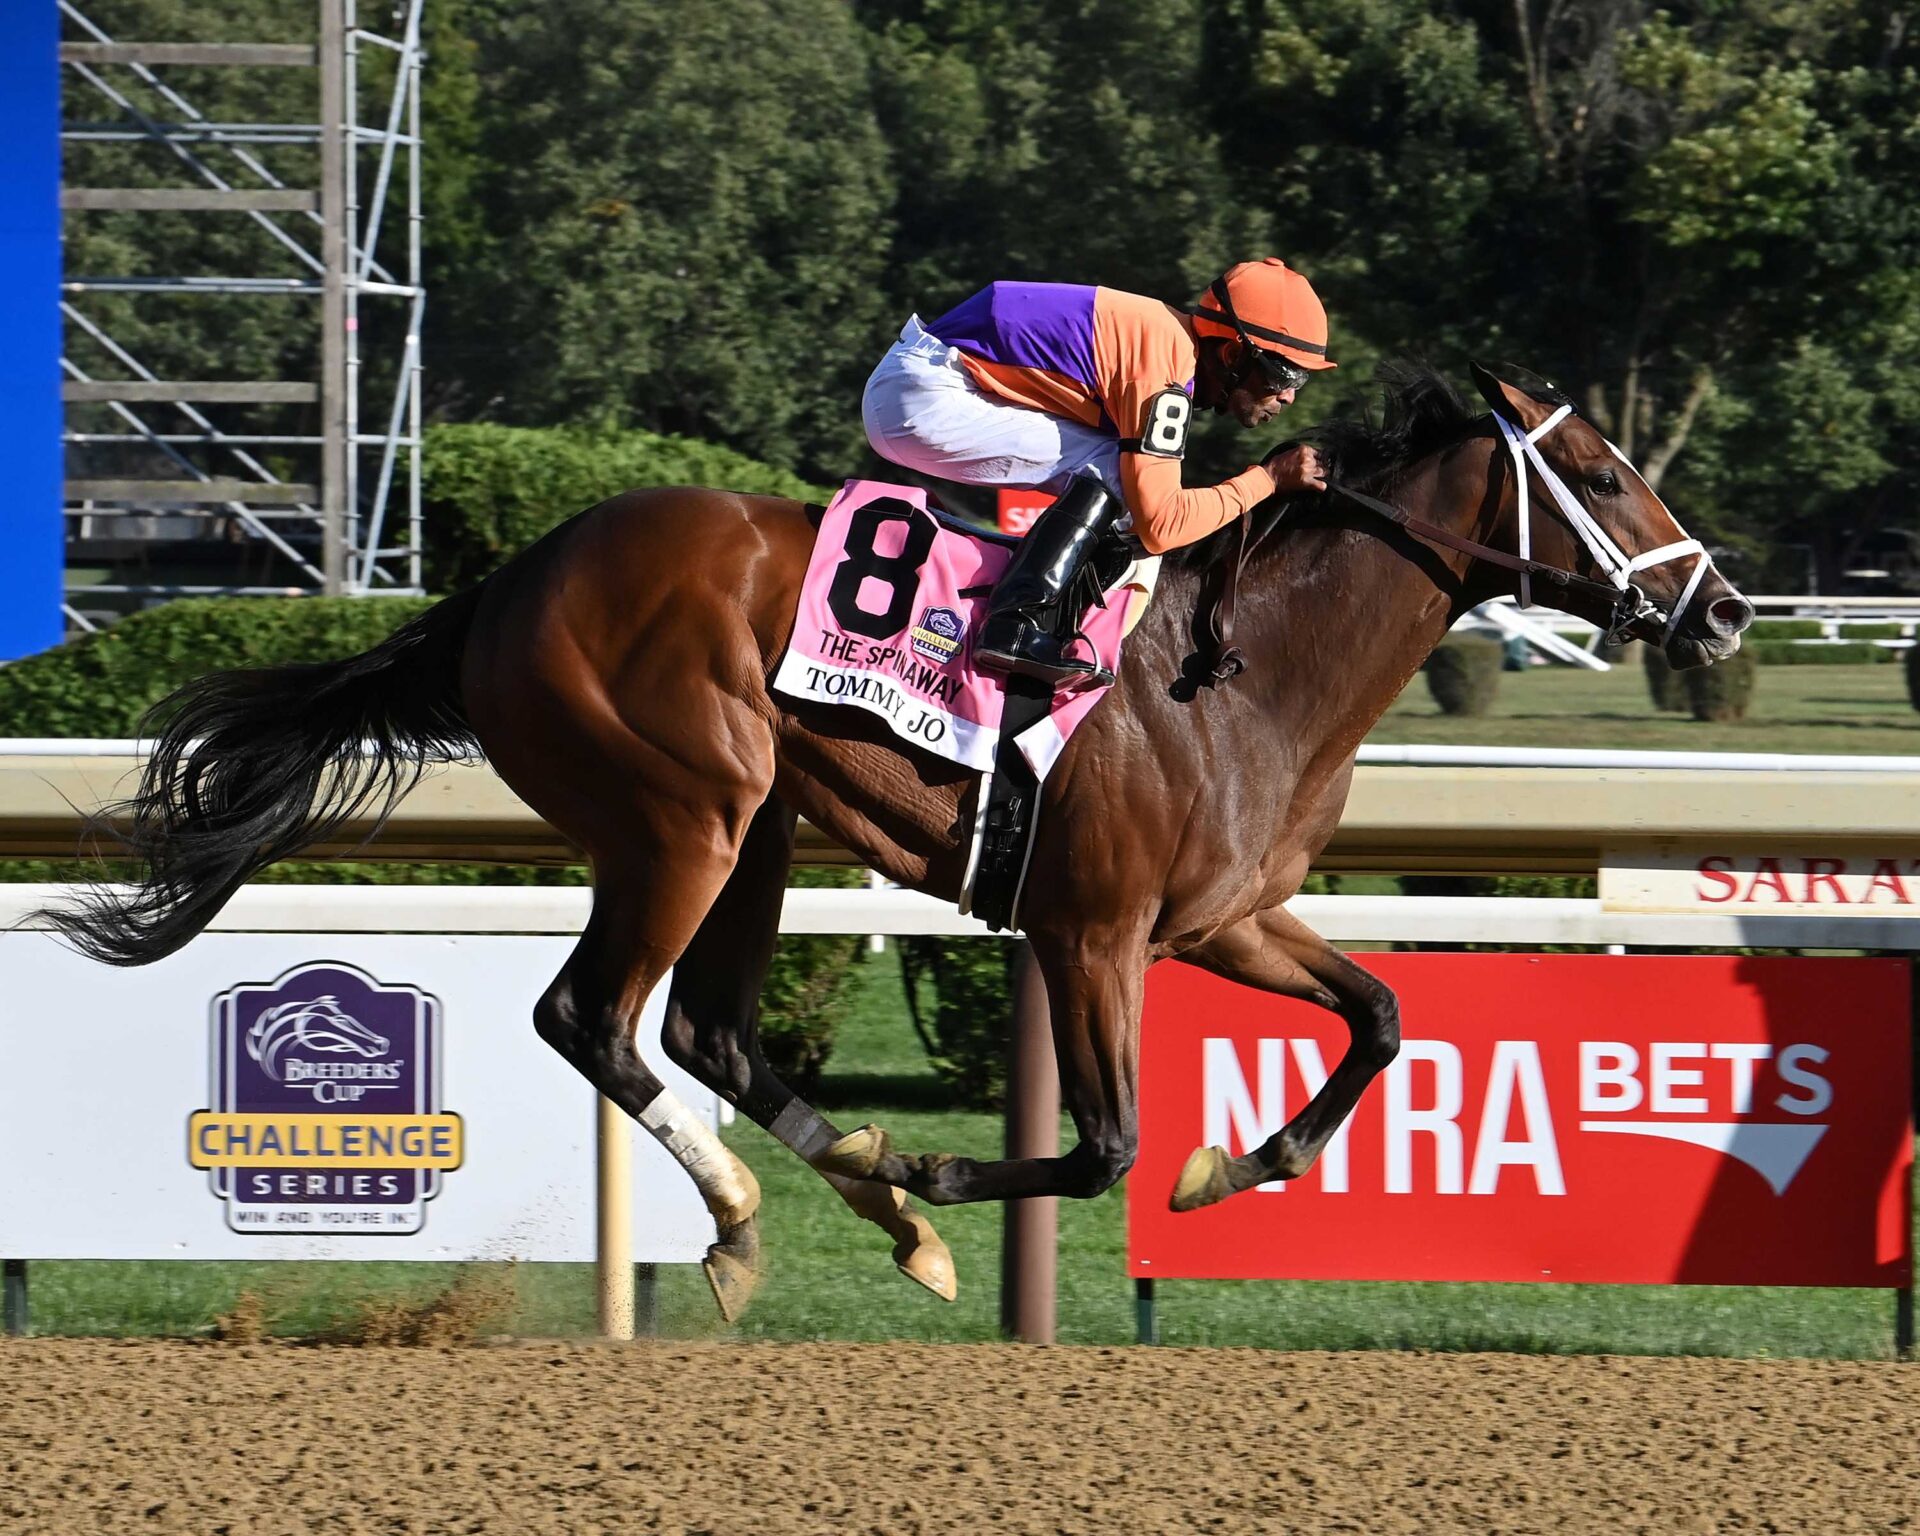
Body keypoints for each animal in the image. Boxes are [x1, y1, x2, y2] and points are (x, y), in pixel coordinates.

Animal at [45, 361, 1753, 1320]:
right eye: (1601, 473)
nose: (1727, 611)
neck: (1248, 665)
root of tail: (507, 581)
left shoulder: (1223, 919)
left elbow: (1383, 1017)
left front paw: (1237, 1165)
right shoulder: (1091, 930)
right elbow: (1102, 1142)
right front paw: (948, 1157)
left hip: (756, 831)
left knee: (711, 1034)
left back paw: (871, 1204)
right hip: (686, 810)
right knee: (593, 1016)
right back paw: (761, 1216)